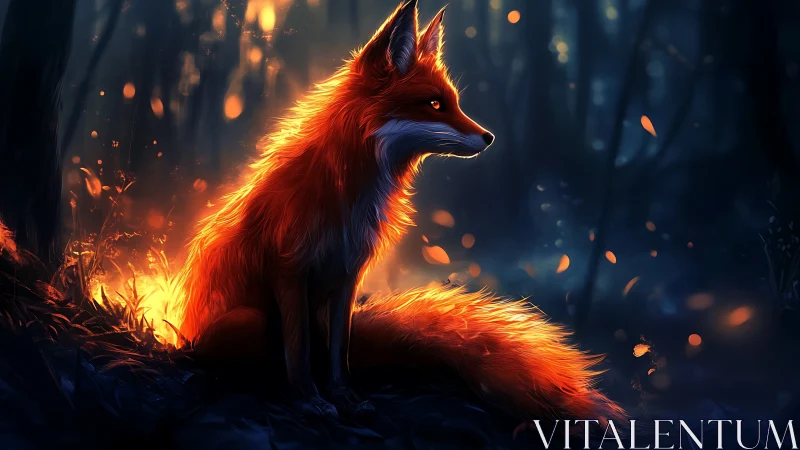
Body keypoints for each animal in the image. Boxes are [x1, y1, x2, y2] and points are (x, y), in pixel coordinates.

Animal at [174, 0, 624, 422]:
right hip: (248, 321)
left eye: (453, 103)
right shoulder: (290, 270)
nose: (489, 137)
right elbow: (299, 352)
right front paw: (308, 401)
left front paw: (345, 397)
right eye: (434, 104)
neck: (349, 197)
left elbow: (338, 353)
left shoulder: (348, 274)